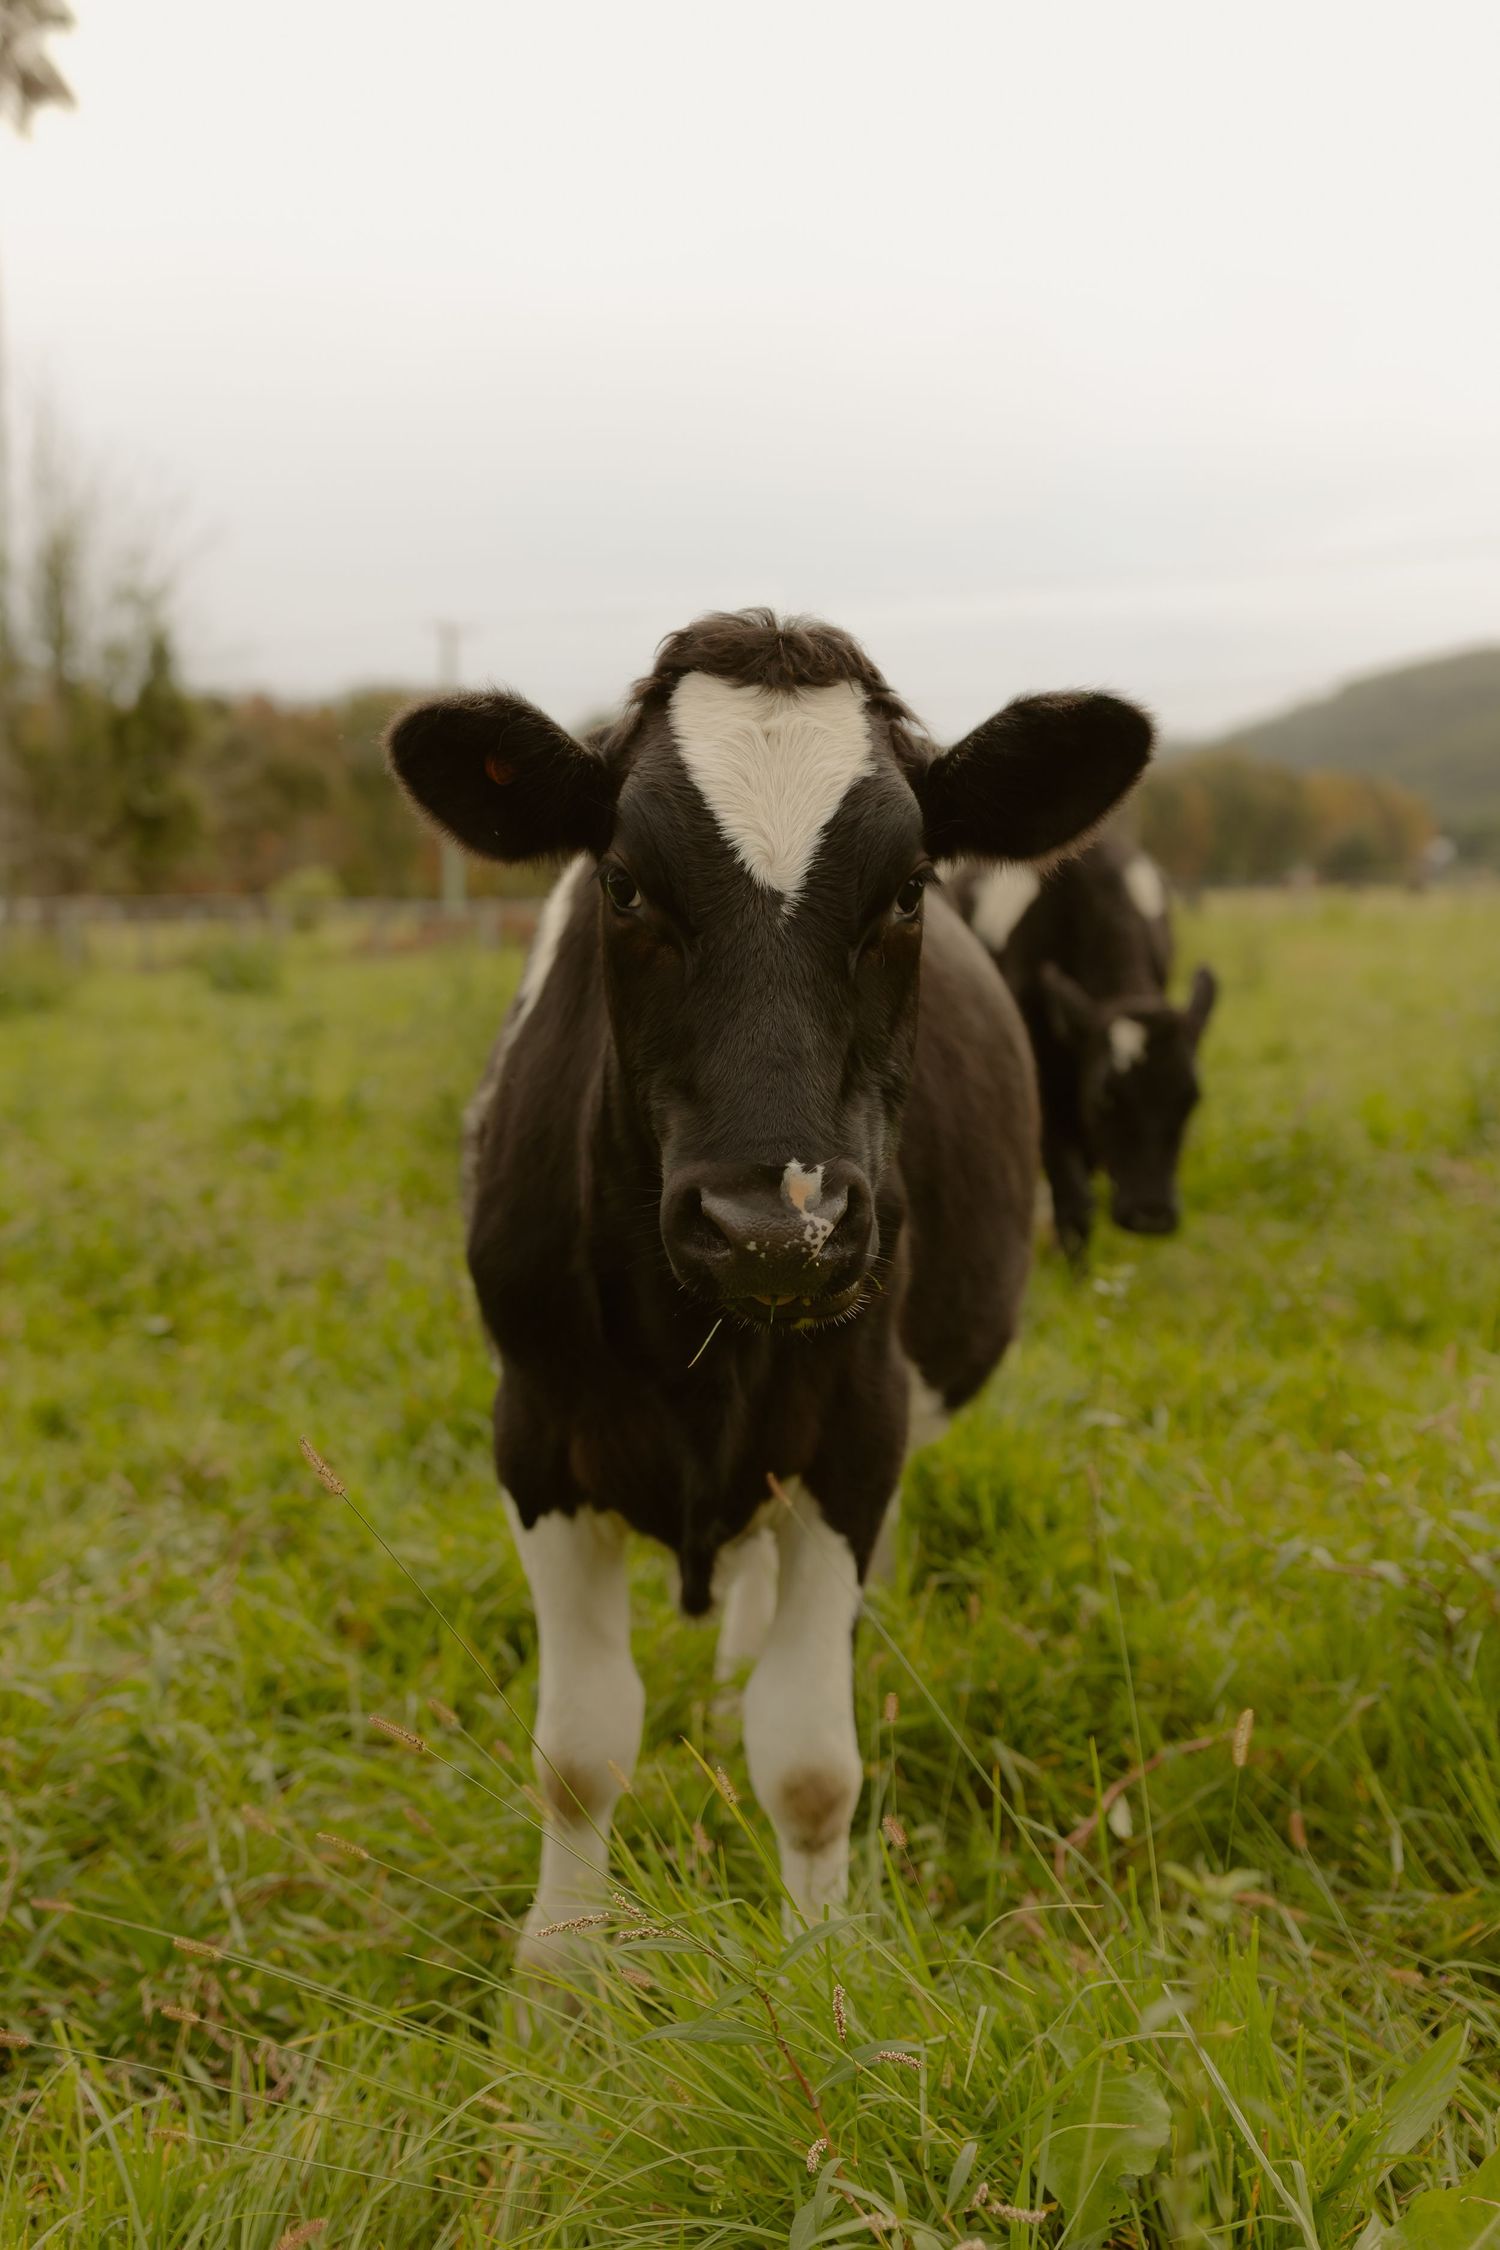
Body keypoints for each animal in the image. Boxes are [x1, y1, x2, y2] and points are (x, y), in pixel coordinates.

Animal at [385, 610, 1151, 1967]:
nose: (774, 1228)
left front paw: (823, 1969)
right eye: (624, 883)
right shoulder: (532, 1434)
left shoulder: (855, 1439)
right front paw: (556, 1973)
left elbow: (808, 1765)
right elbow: (578, 1750)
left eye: (908, 890)